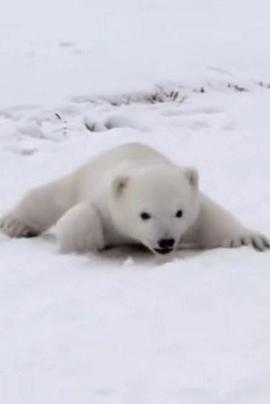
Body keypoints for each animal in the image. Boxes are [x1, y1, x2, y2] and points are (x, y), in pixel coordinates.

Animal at [0, 144, 268, 254]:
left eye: (179, 212)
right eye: (144, 214)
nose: (166, 241)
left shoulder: (194, 210)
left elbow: (213, 217)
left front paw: (250, 239)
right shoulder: (105, 202)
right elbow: (81, 214)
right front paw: (88, 242)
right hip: (79, 177)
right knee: (48, 196)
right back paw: (15, 224)